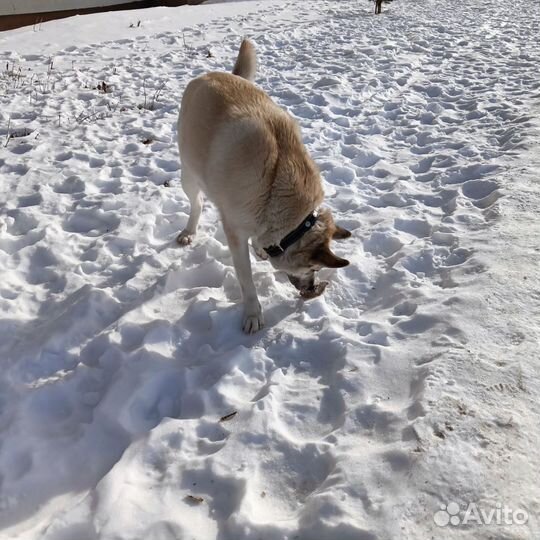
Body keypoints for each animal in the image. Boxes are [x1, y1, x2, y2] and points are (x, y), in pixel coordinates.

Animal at [177, 39, 352, 334]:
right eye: (312, 269)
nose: (312, 289)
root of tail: (214, 74)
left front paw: (260, 249)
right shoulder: (235, 233)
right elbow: (246, 280)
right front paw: (252, 314)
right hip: (188, 171)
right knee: (196, 202)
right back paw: (189, 231)